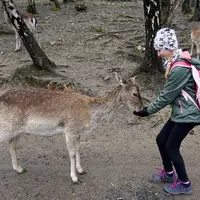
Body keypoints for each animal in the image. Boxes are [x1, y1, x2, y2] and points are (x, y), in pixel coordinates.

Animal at [0, 73, 144, 183]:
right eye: (134, 93)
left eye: (140, 91)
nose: (141, 108)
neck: (90, 112)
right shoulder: (69, 129)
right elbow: (72, 153)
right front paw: (74, 178)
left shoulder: (77, 132)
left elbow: (79, 149)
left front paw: (81, 170)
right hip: (7, 126)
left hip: (18, 130)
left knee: (11, 144)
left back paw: (19, 168)